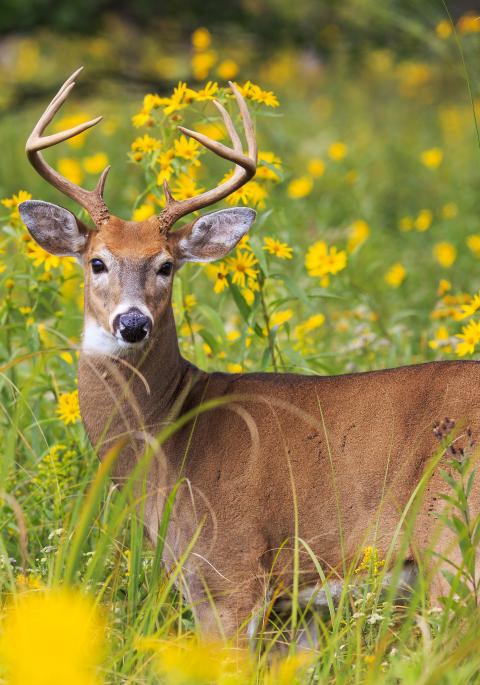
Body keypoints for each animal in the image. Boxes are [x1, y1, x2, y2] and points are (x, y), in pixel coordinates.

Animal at [19, 67, 480, 640]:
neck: (169, 438)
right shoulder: (297, 609)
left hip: (452, 537)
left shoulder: (228, 571)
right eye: (96, 261)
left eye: (166, 264)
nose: (132, 323)